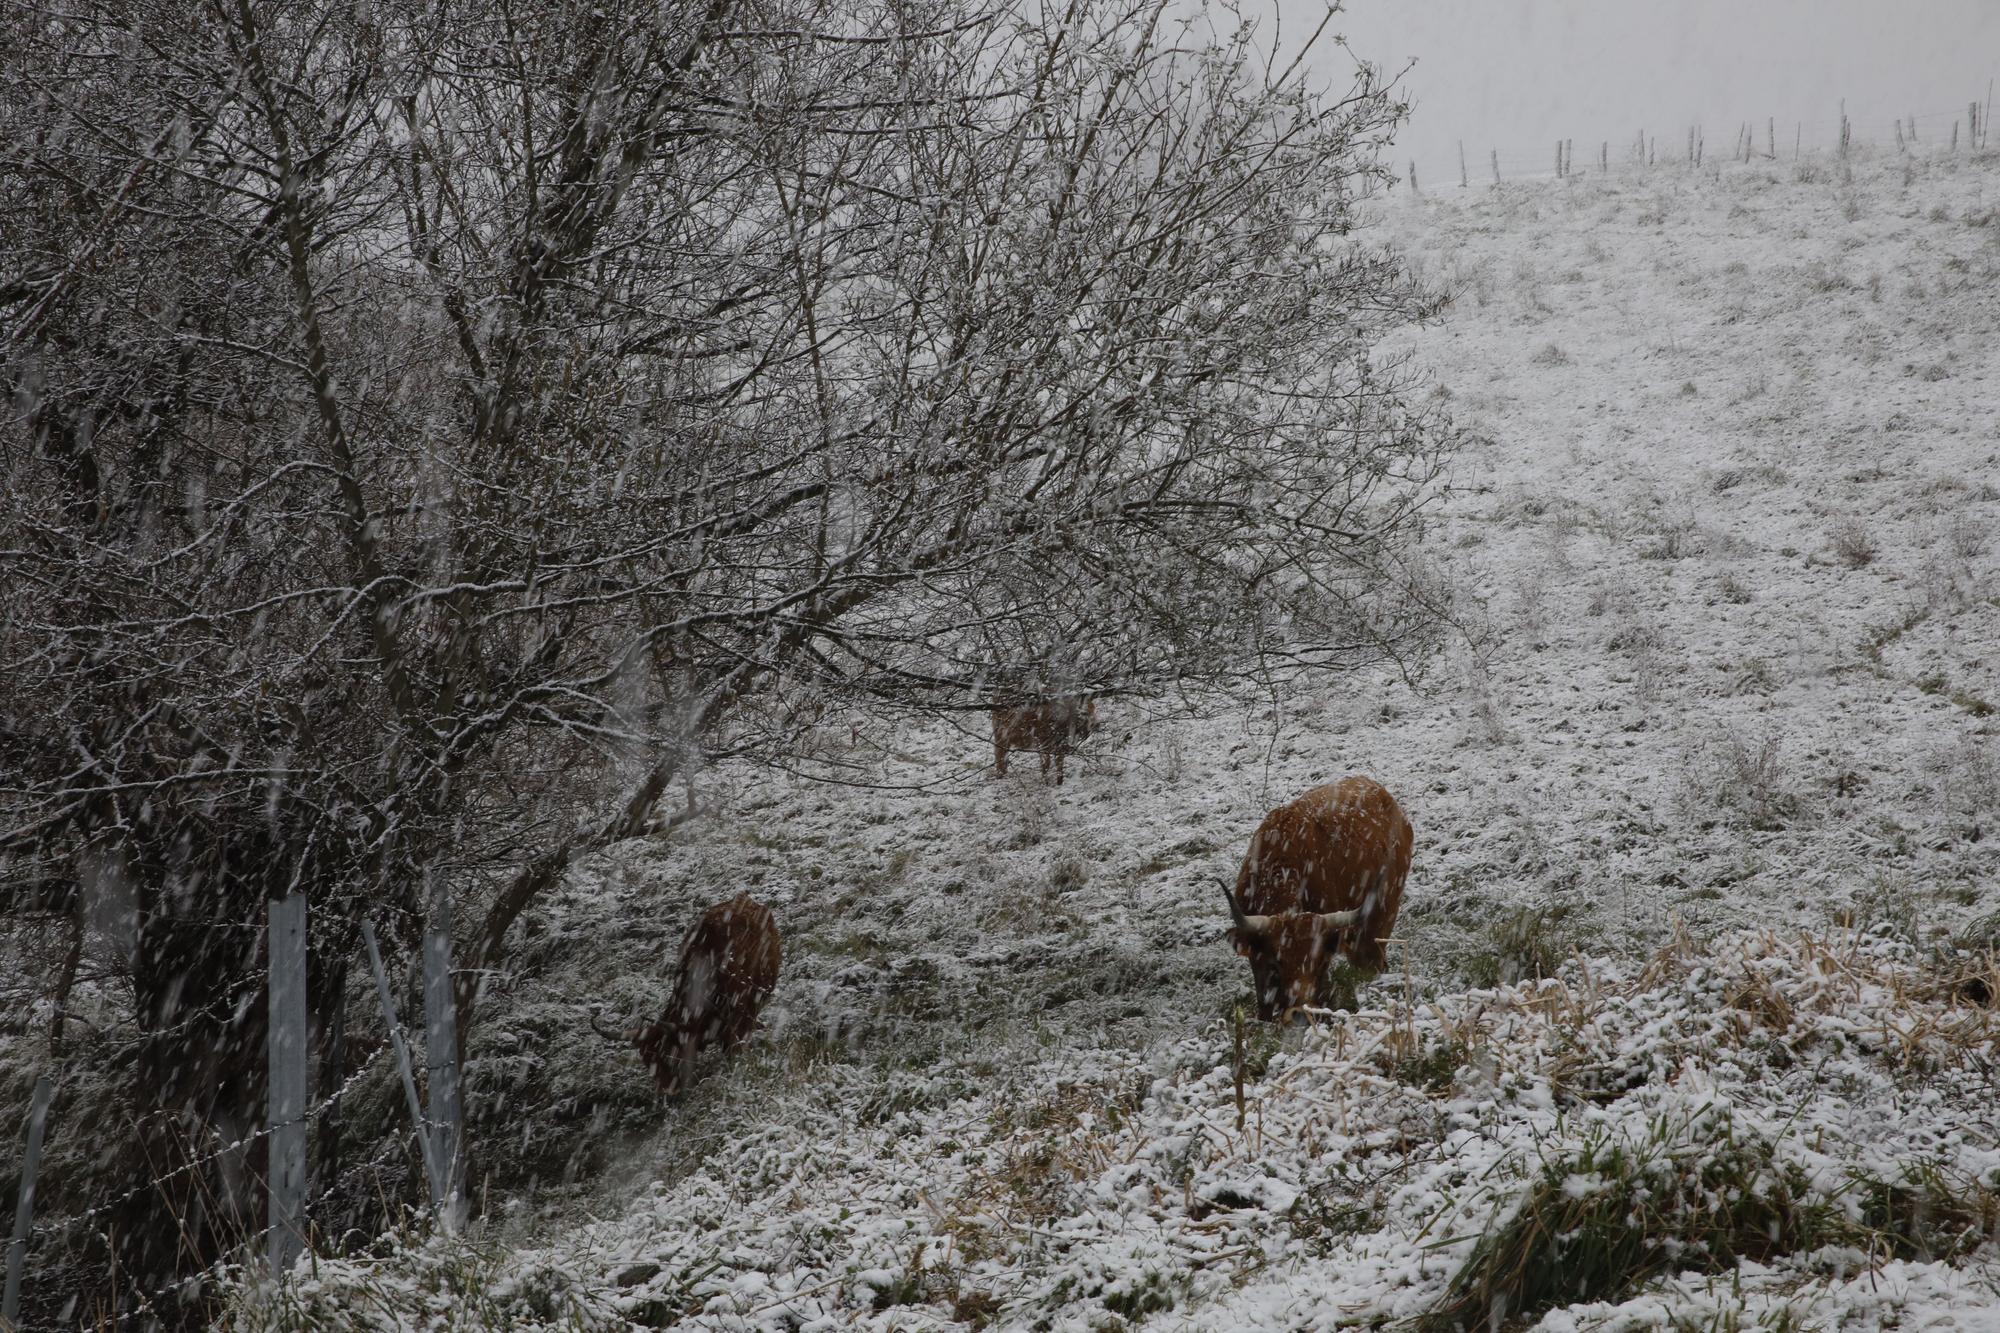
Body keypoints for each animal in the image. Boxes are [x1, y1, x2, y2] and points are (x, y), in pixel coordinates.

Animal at [600, 892, 780, 1088]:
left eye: (669, 1055)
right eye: (647, 1060)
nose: (669, 1089)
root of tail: (746, 899)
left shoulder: (739, 1012)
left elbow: (734, 1044)